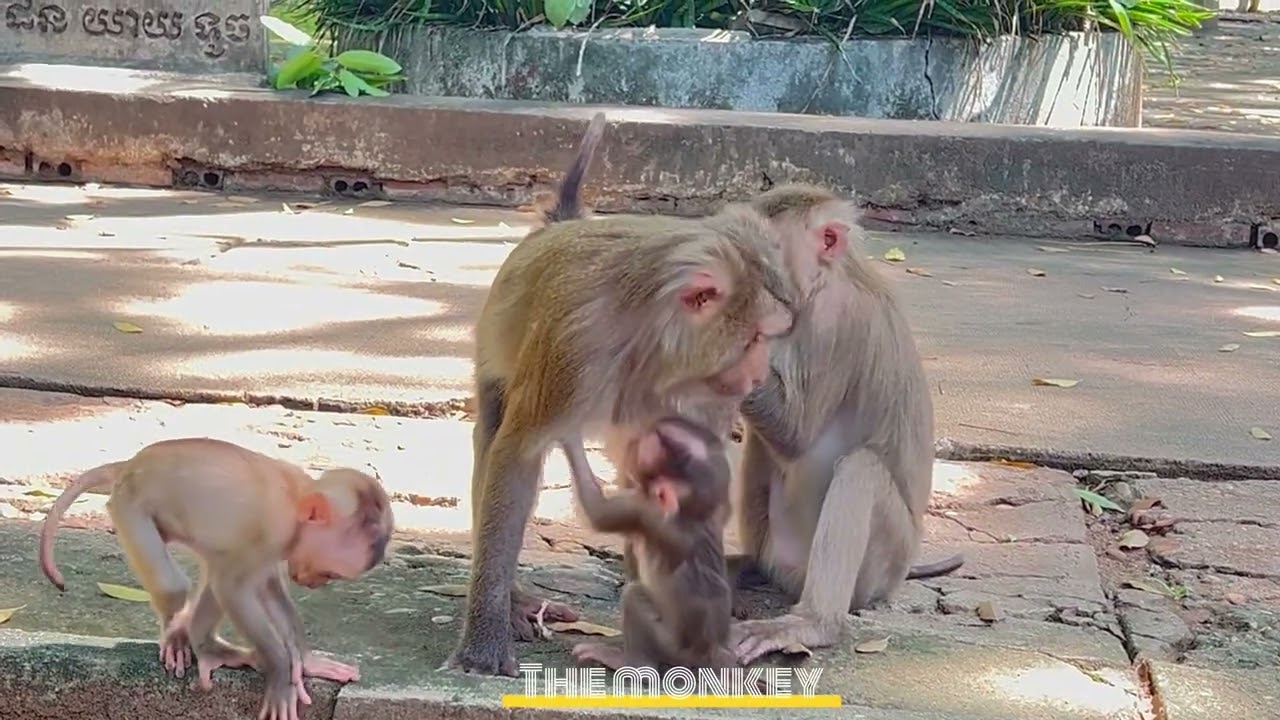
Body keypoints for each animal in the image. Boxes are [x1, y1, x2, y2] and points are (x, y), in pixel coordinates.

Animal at [38, 438, 394, 720]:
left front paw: (304, 660)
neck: (297, 499)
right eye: (328, 572)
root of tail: (132, 463)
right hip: (129, 507)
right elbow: (236, 587)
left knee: (217, 565)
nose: (314, 583)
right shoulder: (273, 530)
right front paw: (281, 673)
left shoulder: (279, 546)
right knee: (183, 584)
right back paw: (180, 635)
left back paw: (206, 644)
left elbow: (265, 585)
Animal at [565, 415, 738, 675]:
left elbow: (598, 513)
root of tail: (707, 654)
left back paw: (629, 664)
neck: (689, 513)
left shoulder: (643, 508)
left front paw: (569, 436)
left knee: (634, 596)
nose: (631, 444)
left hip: (670, 646)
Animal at [704, 183, 963, 665]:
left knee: (861, 469)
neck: (825, 282)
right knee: (760, 451)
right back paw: (743, 565)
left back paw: (813, 623)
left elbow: (797, 432)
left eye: (765, 253)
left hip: (882, 564)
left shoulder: (835, 320)